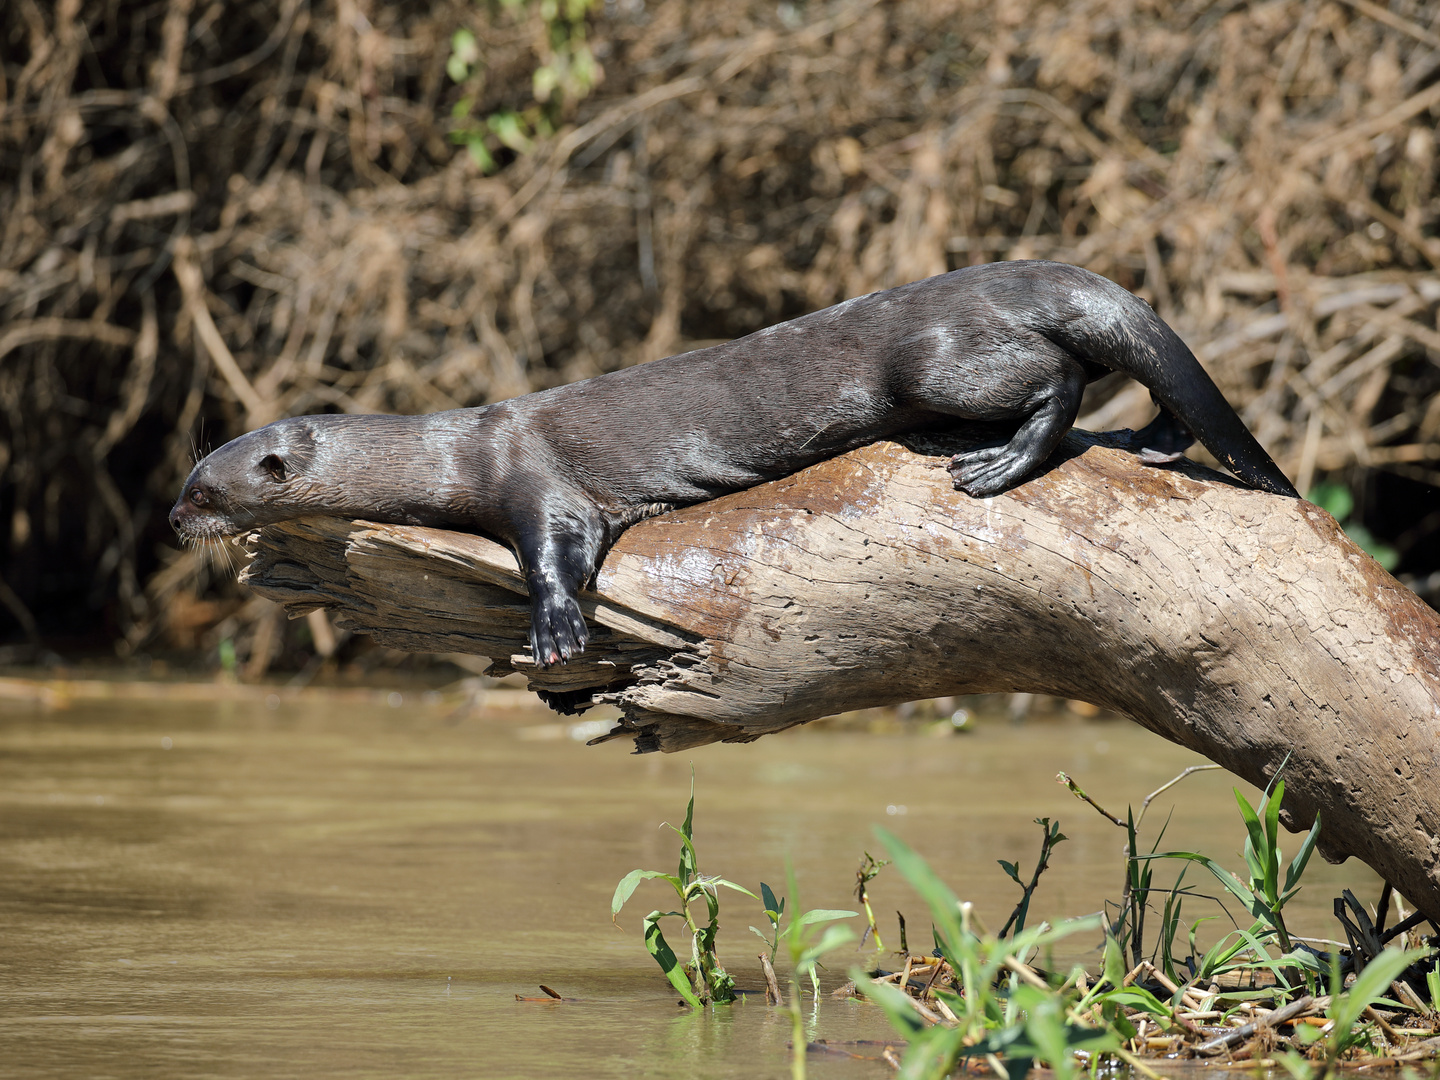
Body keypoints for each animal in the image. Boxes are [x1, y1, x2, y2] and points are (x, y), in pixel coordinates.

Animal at [174, 262, 1301, 668]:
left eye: (200, 485)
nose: (176, 524)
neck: (454, 448)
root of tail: (1009, 276)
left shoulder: (538, 486)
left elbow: (556, 550)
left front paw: (554, 632)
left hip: (937, 361)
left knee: (1063, 375)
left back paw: (1001, 464)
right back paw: (1153, 443)